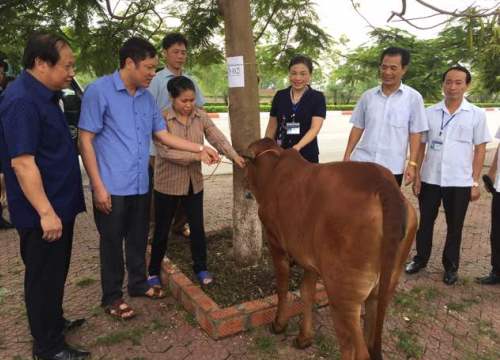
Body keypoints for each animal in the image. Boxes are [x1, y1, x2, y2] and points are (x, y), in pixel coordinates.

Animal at [244, 139, 416, 360]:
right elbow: (306, 292)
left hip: (343, 294)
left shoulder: (276, 243)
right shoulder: (310, 260)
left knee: (354, 348)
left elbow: (282, 288)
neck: (272, 171)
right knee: (369, 336)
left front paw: (279, 324)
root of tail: (384, 186)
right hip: (382, 290)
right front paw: (304, 338)